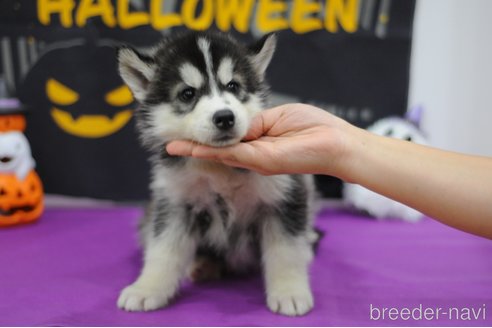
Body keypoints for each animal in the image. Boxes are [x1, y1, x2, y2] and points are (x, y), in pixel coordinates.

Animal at [116, 32, 316, 316]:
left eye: (233, 86)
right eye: (188, 93)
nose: (224, 117)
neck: (219, 168)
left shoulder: (285, 196)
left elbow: (287, 251)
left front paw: (290, 291)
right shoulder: (175, 203)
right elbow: (163, 250)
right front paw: (147, 288)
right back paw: (201, 265)